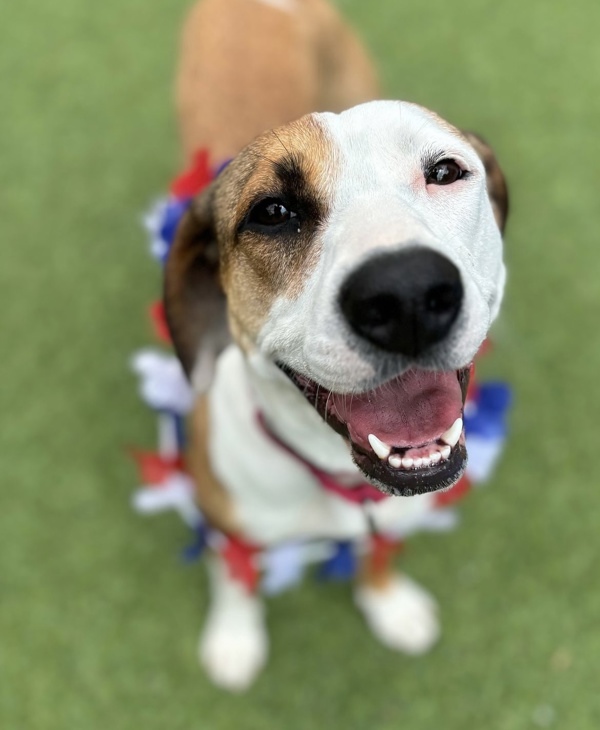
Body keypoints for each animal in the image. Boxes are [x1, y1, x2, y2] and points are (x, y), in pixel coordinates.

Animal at [161, 0, 506, 688]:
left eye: (445, 171)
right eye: (272, 212)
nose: (405, 294)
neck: (336, 477)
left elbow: (379, 555)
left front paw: (389, 604)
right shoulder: (224, 521)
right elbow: (235, 579)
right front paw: (234, 638)